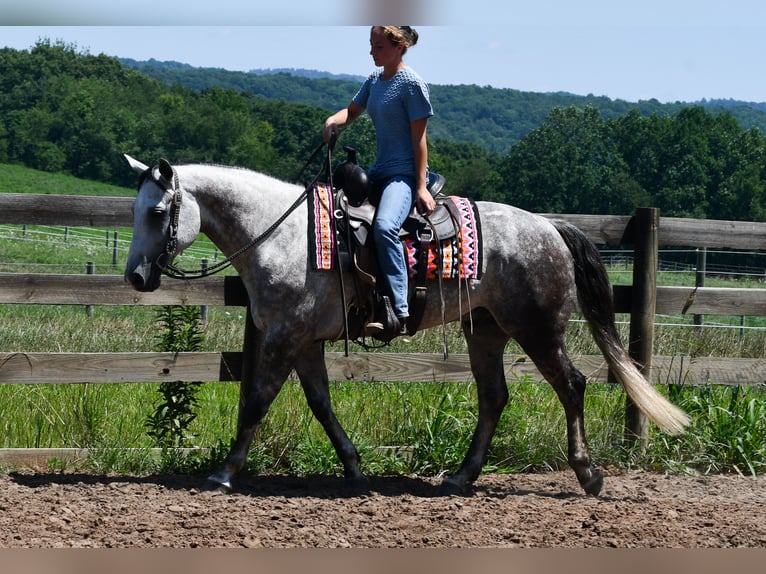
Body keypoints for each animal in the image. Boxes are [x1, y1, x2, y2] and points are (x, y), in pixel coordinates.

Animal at [123, 154, 689, 496]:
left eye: (157, 211)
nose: (135, 276)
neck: (279, 236)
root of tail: (550, 227)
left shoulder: (285, 337)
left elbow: (258, 400)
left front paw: (223, 473)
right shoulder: (305, 343)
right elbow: (321, 404)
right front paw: (353, 467)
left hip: (538, 329)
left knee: (571, 385)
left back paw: (589, 475)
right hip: (485, 330)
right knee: (494, 397)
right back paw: (461, 476)